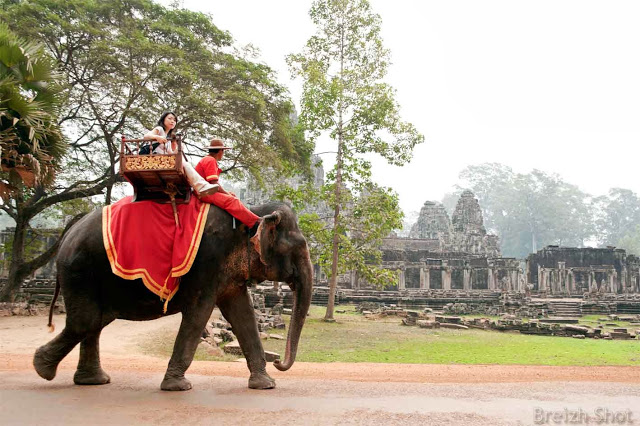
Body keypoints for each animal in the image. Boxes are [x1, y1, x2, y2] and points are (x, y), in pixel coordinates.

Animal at [33, 201, 314, 392]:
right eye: (298, 247)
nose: (279, 363)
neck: (250, 211)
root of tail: (69, 229)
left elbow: (243, 315)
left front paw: (266, 384)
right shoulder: (207, 262)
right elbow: (199, 313)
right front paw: (178, 386)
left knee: (95, 322)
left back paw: (91, 380)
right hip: (80, 270)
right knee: (87, 321)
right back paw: (43, 368)